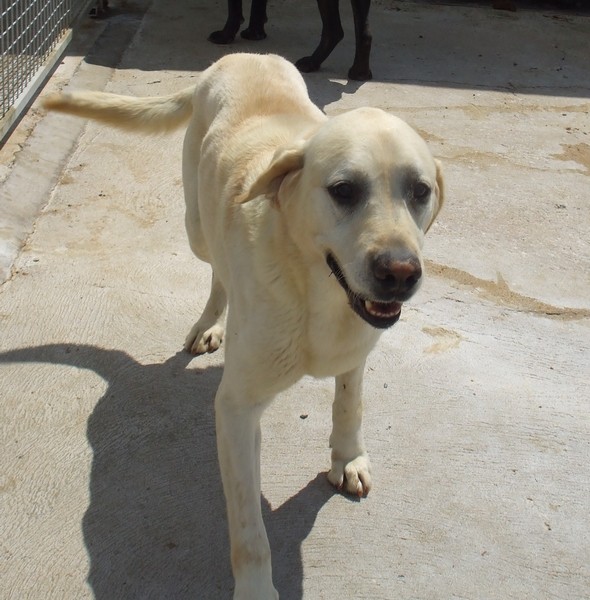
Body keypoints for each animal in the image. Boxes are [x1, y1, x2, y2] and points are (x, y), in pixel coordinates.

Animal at [45, 54, 444, 596]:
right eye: (343, 190)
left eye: (420, 191)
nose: (401, 273)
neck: (316, 290)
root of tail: (239, 57)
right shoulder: (235, 409)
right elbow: (249, 529)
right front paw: (256, 588)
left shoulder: (356, 353)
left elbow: (349, 404)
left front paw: (347, 458)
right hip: (196, 226)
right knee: (217, 268)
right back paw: (209, 324)